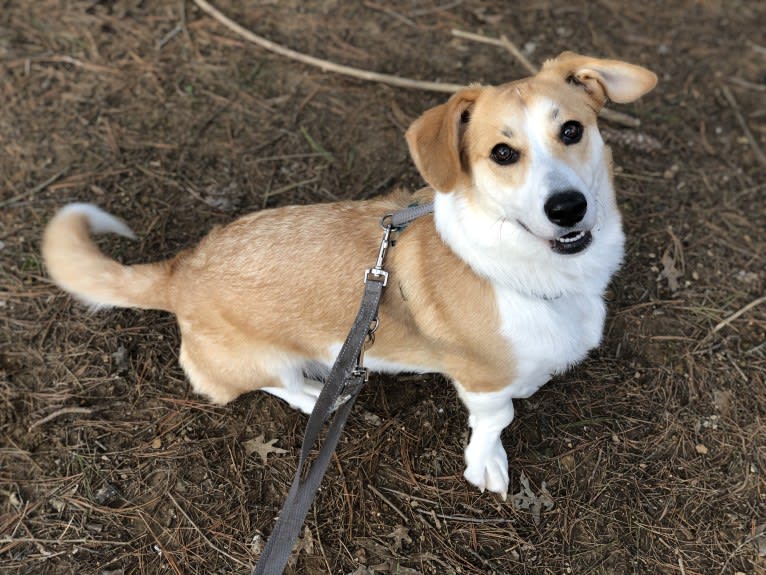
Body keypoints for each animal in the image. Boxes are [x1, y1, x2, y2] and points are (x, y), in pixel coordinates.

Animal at [42, 51, 656, 498]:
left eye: (572, 131)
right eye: (503, 153)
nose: (569, 208)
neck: (529, 266)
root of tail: (180, 272)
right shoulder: (480, 380)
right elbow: (495, 418)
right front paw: (487, 462)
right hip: (256, 362)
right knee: (269, 383)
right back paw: (318, 393)